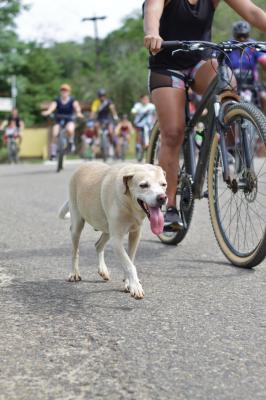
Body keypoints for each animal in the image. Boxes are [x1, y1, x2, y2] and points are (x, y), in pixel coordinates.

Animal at [58, 161, 166, 298]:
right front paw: (135, 286)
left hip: (108, 230)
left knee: (98, 245)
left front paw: (129, 283)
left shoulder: (135, 234)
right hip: (77, 224)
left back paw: (103, 270)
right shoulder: (117, 240)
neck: (129, 204)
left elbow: (130, 260)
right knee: (75, 250)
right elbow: (129, 265)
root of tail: (84, 164)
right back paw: (74, 273)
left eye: (164, 184)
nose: (162, 197)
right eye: (143, 185)